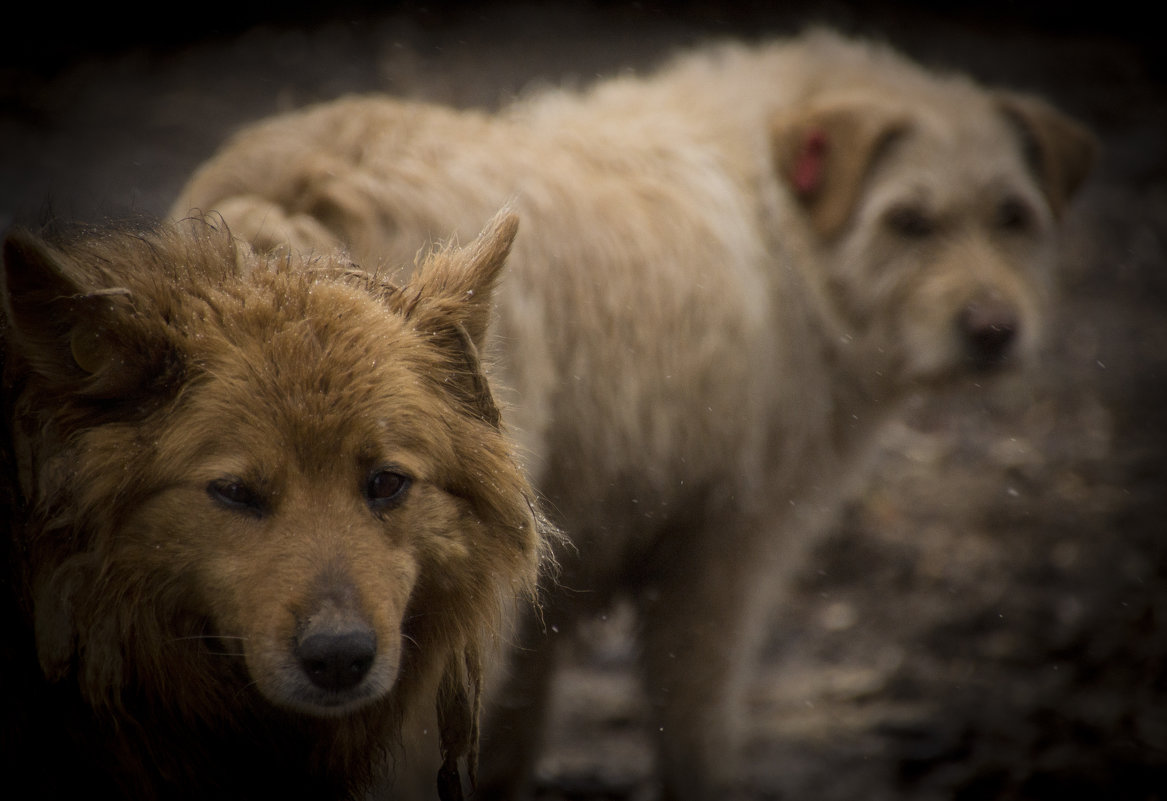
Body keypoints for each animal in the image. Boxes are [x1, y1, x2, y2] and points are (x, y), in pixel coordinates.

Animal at [170, 28, 1092, 798]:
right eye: (908, 221)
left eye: (1012, 216)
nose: (994, 330)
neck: (784, 217)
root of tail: (293, 191)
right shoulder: (721, 557)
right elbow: (694, 729)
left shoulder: (540, 579)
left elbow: (509, 741)